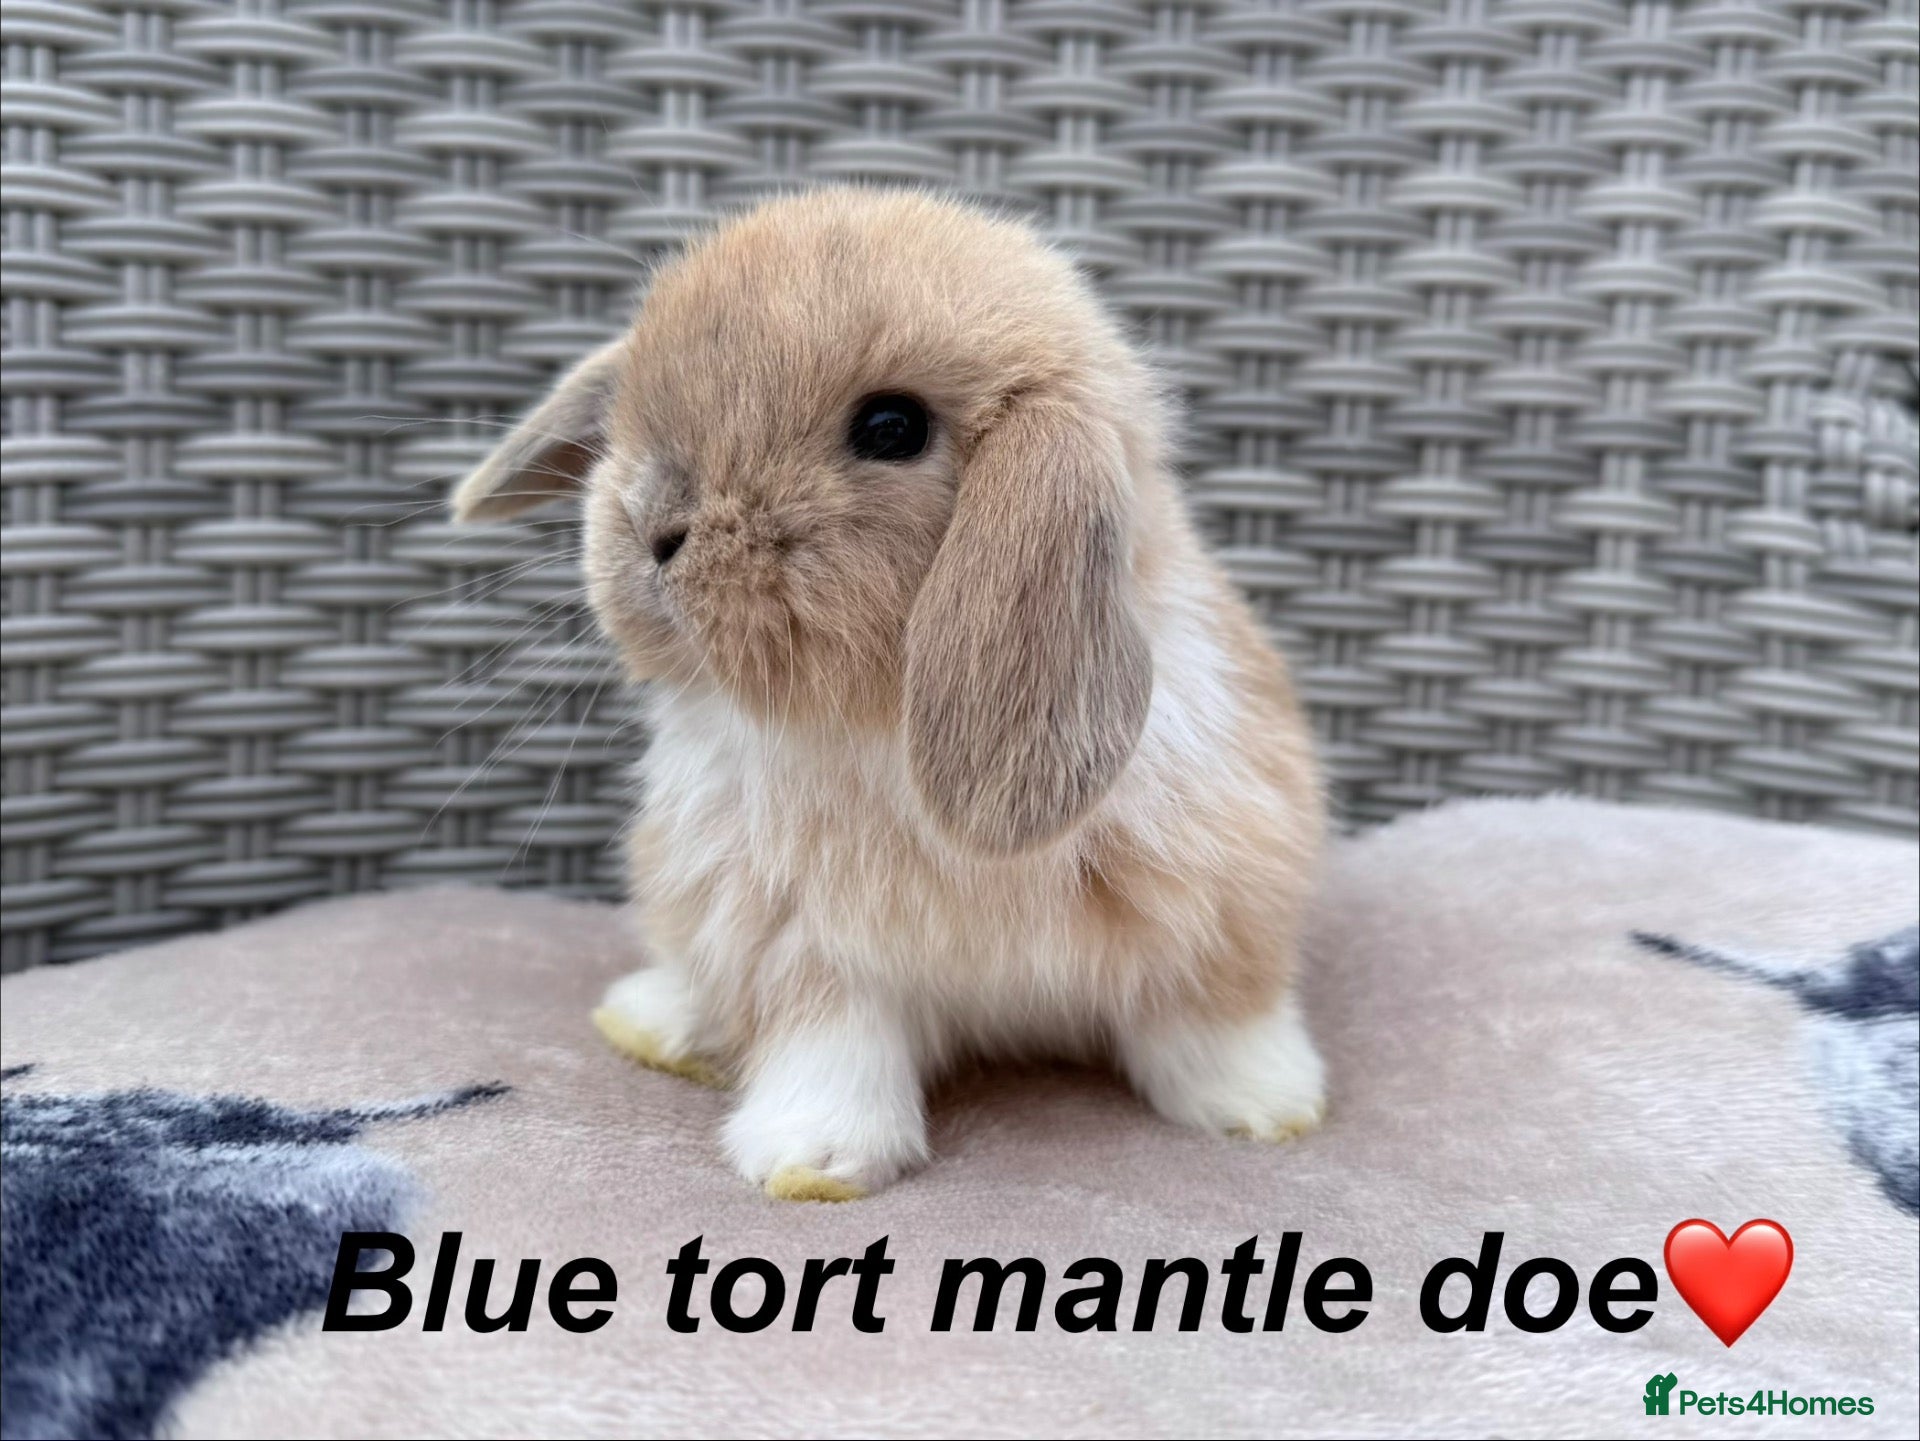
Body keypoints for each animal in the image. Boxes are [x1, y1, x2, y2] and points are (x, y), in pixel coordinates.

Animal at [451, 187, 1326, 1200]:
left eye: (891, 427)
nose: (652, 527)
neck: (876, 718)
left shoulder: (1221, 899)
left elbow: (1214, 1017)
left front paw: (1265, 1106)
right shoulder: (802, 940)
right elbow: (831, 1046)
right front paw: (814, 1162)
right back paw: (653, 1021)